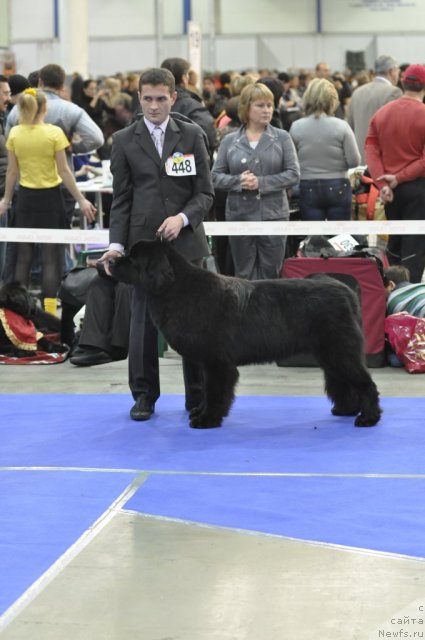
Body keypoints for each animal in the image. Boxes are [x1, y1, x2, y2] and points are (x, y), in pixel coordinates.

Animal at [112, 240, 380, 430]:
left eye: (133, 258)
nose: (112, 261)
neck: (177, 289)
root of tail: (346, 291)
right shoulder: (205, 361)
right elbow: (208, 391)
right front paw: (200, 412)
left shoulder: (216, 362)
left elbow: (215, 391)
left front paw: (207, 419)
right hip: (331, 354)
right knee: (344, 383)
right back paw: (346, 410)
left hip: (339, 351)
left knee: (366, 383)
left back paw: (368, 418)